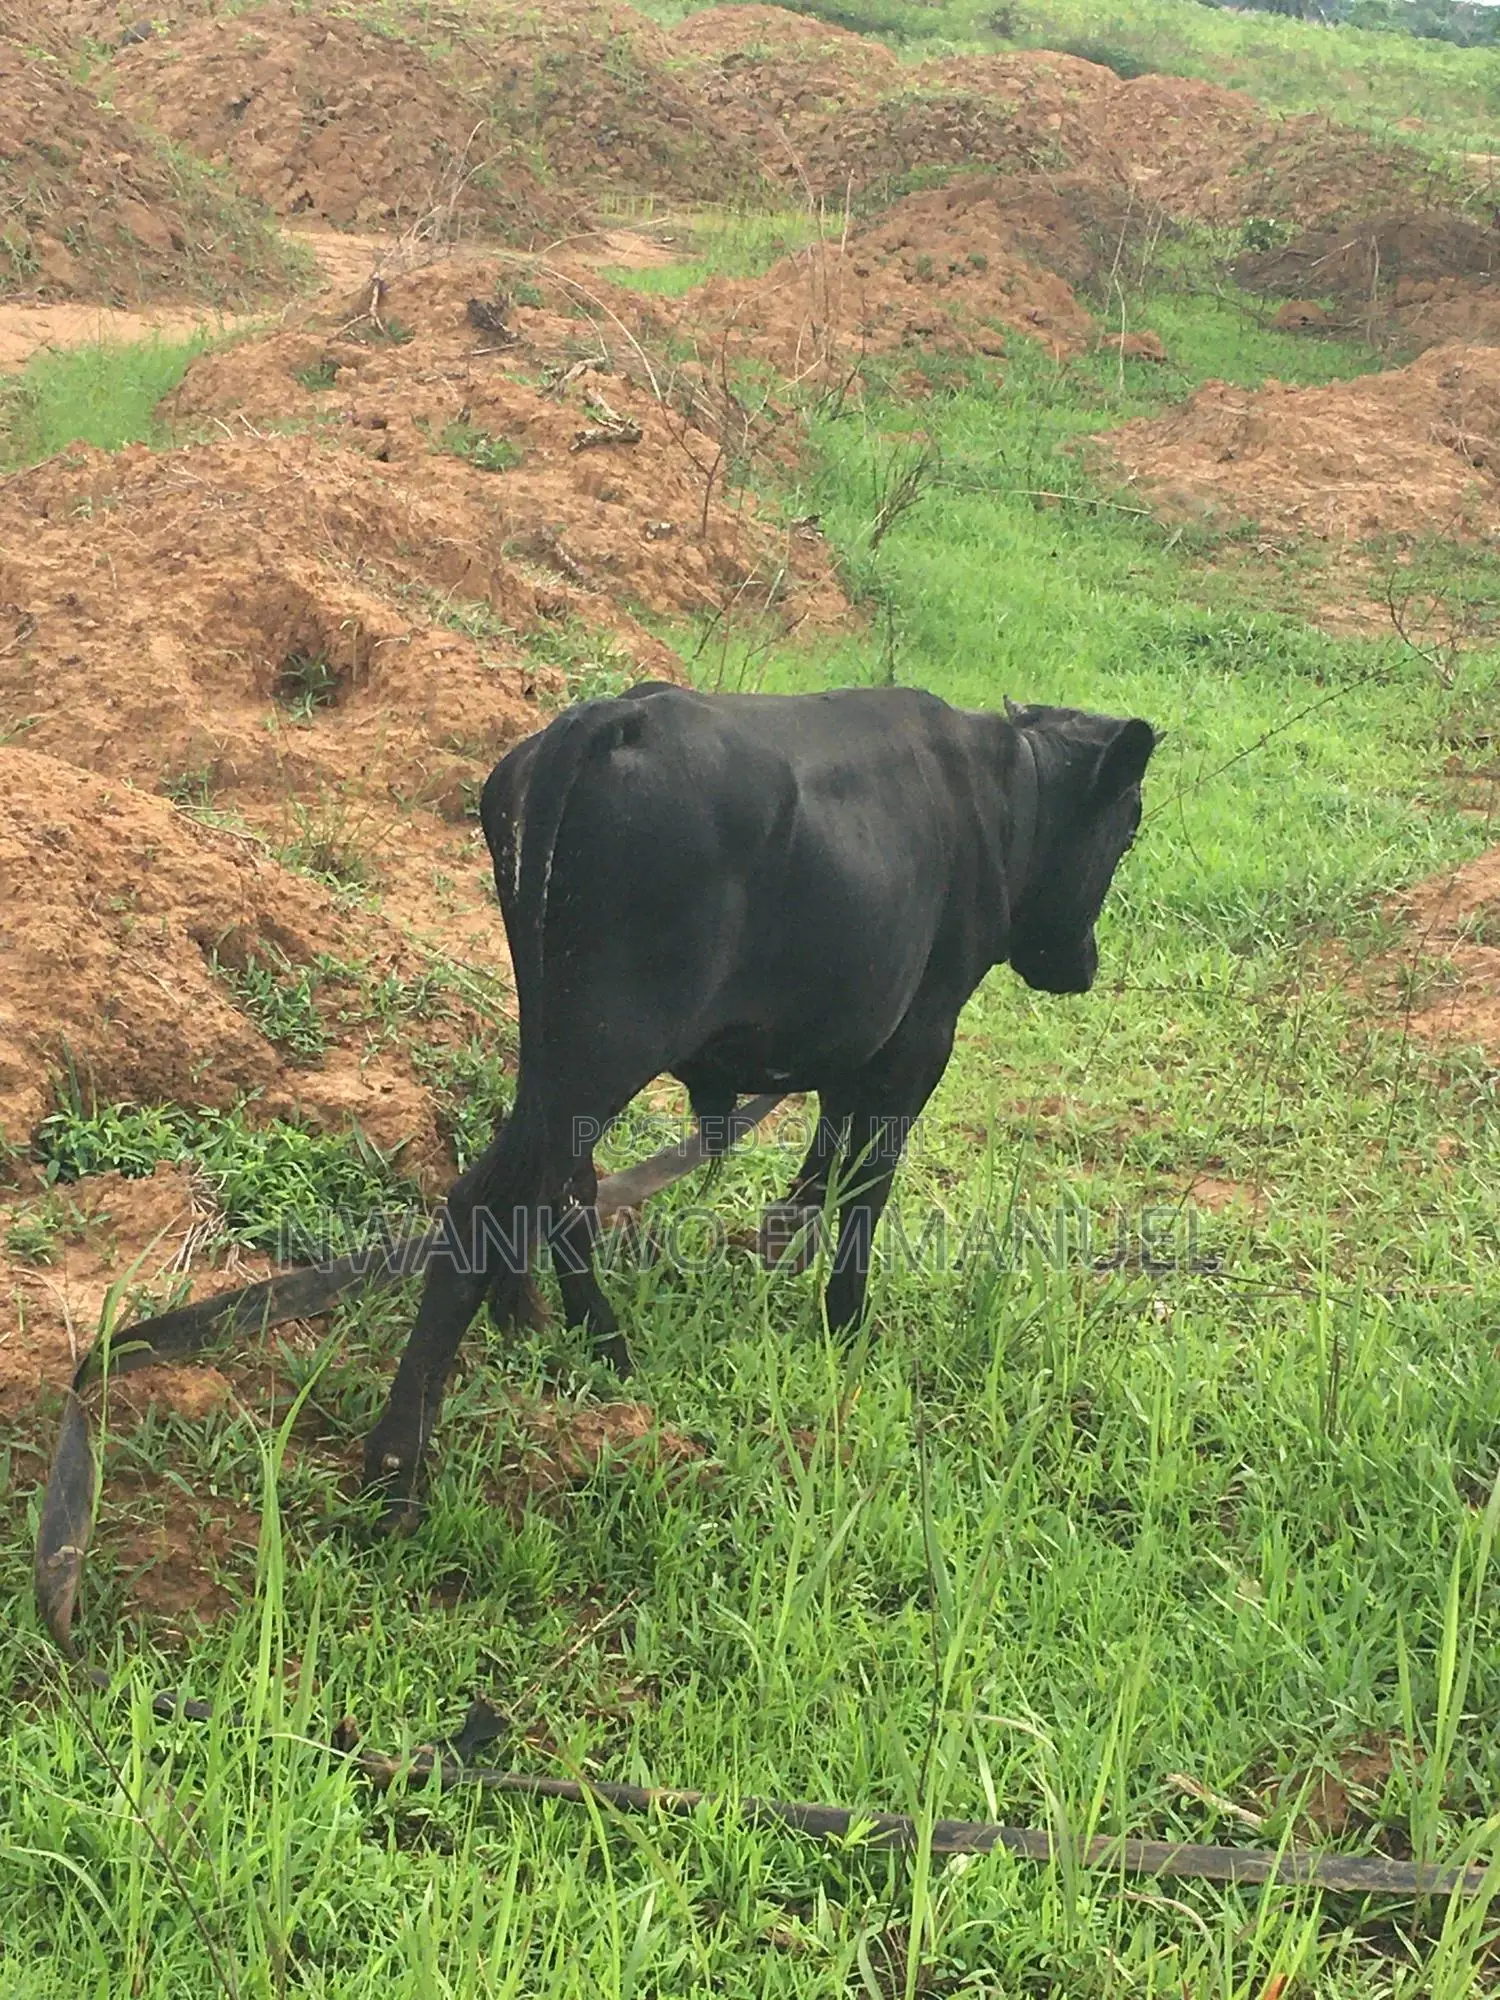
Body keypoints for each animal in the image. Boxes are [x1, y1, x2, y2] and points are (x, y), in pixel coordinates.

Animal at [364, 683, 1157, 1516]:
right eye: (1130, 826)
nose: (1085, 964)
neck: (1009, 793)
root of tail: (618, 714)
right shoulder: (919, 1043)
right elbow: (866, 1188)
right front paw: (847, 1321)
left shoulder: (856, 1050)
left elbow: (824, 1166)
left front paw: (783, 1243)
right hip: (606, 1046)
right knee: (487, 1203)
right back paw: (397, 1468)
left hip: (561, 1055)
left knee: (563, 1189)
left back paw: (606, 1344)